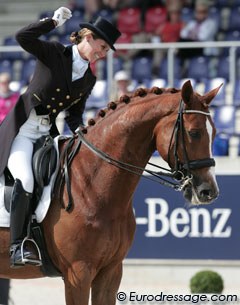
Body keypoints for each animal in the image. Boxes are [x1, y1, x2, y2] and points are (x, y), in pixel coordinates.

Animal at [0, 81, 221, 304]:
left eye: (215, 133)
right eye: (194, 133)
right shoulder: (77, 273)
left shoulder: (111, 271)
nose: (208, 191)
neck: (92, 187)